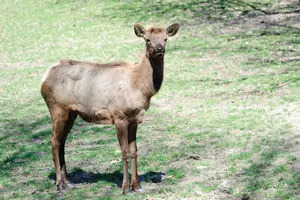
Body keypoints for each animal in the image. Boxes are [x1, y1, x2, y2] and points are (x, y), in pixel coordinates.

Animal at [41, 23, 179, 194]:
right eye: (147, 39)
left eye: (165, 38)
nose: (160, 49)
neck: (141, 88)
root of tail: (44, 78)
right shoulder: (119, 116)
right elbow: (124, 151)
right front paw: (125, 187)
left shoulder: (135, 119)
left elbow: (134, 150)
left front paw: (137, 185)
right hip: (57, 107)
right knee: (54, 140)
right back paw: (60, 184)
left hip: (71, 113)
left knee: (62, 140)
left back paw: (68, 181)